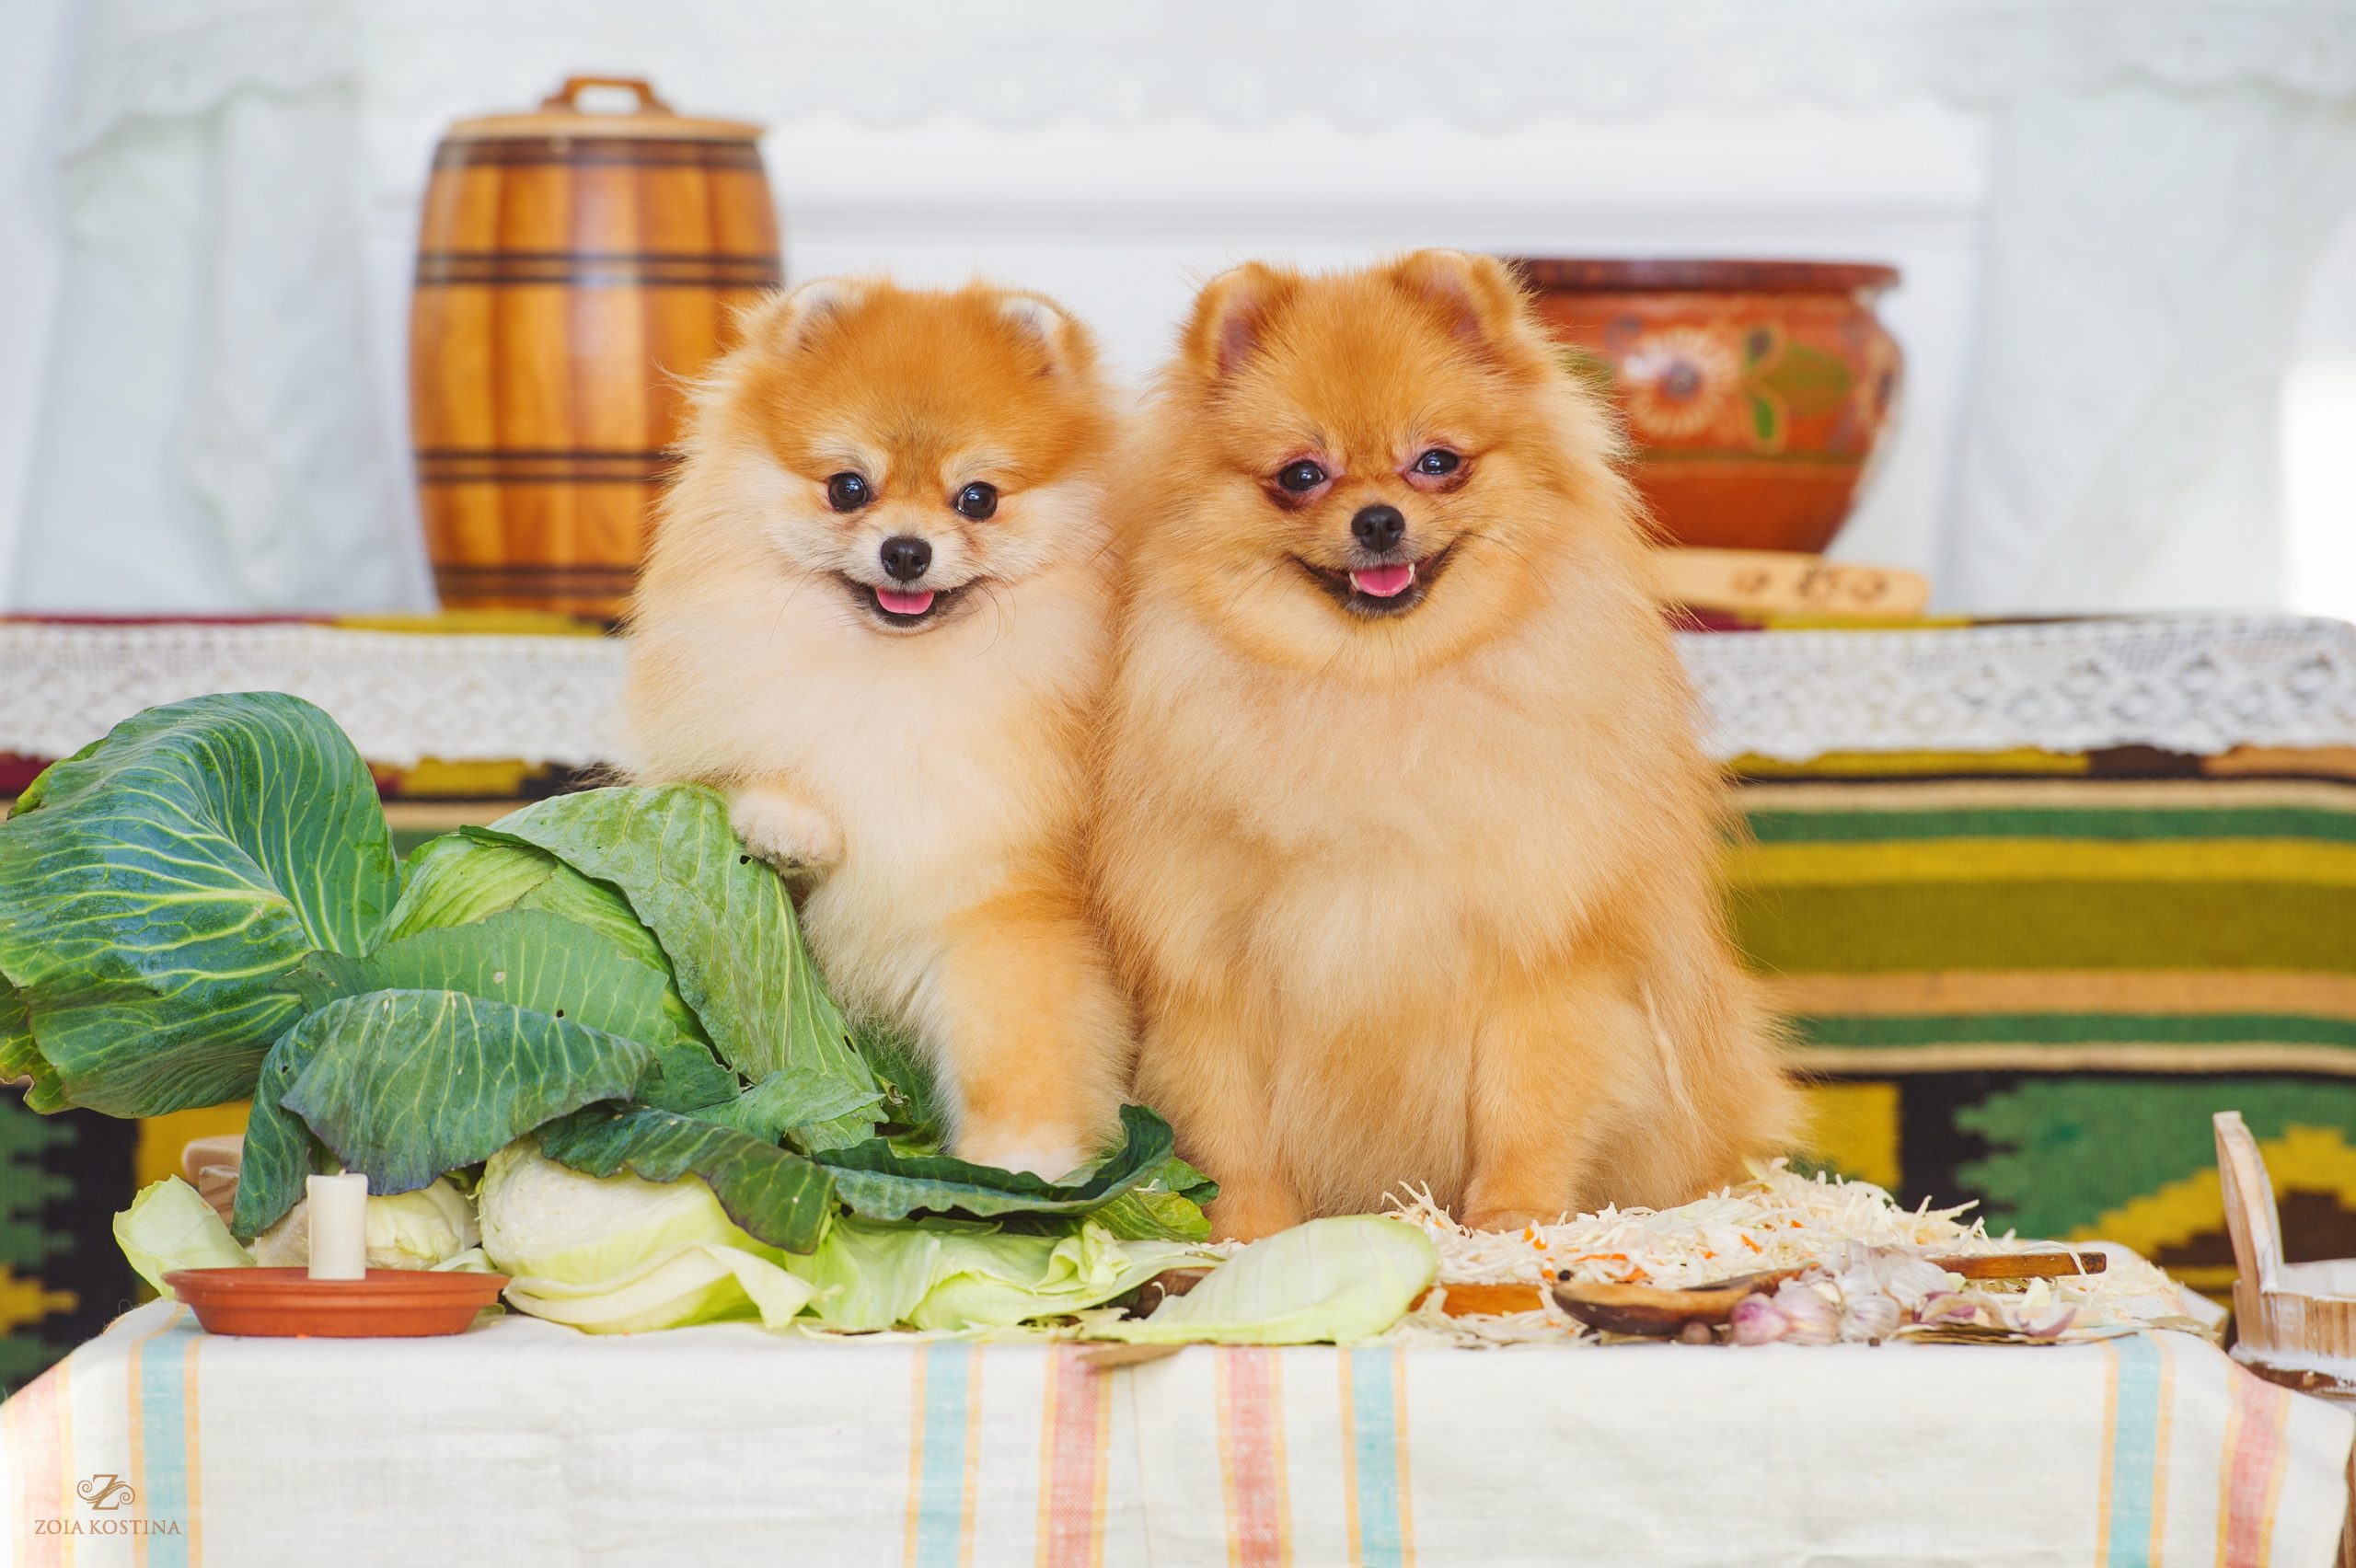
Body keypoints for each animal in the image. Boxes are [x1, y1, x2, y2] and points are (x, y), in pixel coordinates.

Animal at [621, 274, 1135, 1172]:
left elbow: (1019, 1043)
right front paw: (788, 824)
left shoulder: (1003, 904)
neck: (896, 680)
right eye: (848, 487)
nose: (905, 551)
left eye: (978, 498)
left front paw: (1023, 1161)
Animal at [1092, 253, 1790, 1233]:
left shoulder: (1541, 962)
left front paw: (1511, 1221)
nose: (1379, 519)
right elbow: (1236, 1139)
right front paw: (1247, 1236)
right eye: (1300, 475)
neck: (1379, 690)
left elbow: (1524, 1109)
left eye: (1437, 464)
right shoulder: (1209, 974)